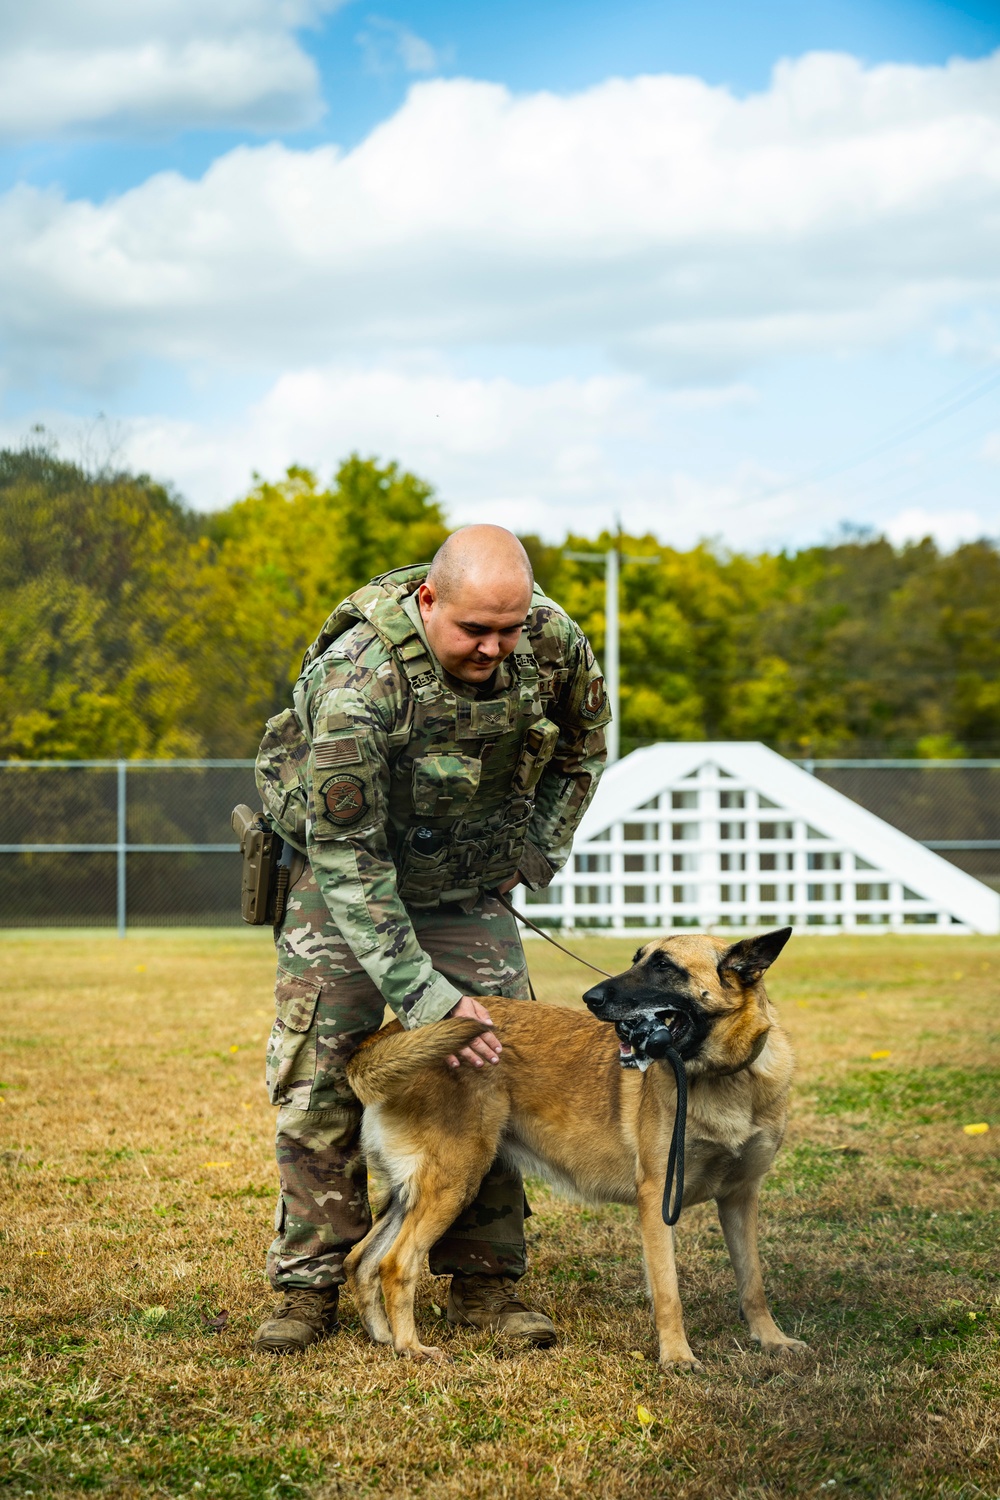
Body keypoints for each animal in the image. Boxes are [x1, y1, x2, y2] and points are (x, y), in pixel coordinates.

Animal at [344, 924, 803, 1374]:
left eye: (663, 966)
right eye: (638, 959)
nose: (591, 998)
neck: (725, 1077)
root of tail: (389, 1034)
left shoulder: (740, 1198)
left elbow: (753, 1282)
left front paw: (771, 1340)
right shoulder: (657, 1198)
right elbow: (668, 1290)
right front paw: (677, 1356)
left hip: (415, 1193)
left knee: (360, 1259)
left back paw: (383, 1337)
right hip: (455, 1182)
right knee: (395, 1265)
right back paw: (411, 1347)